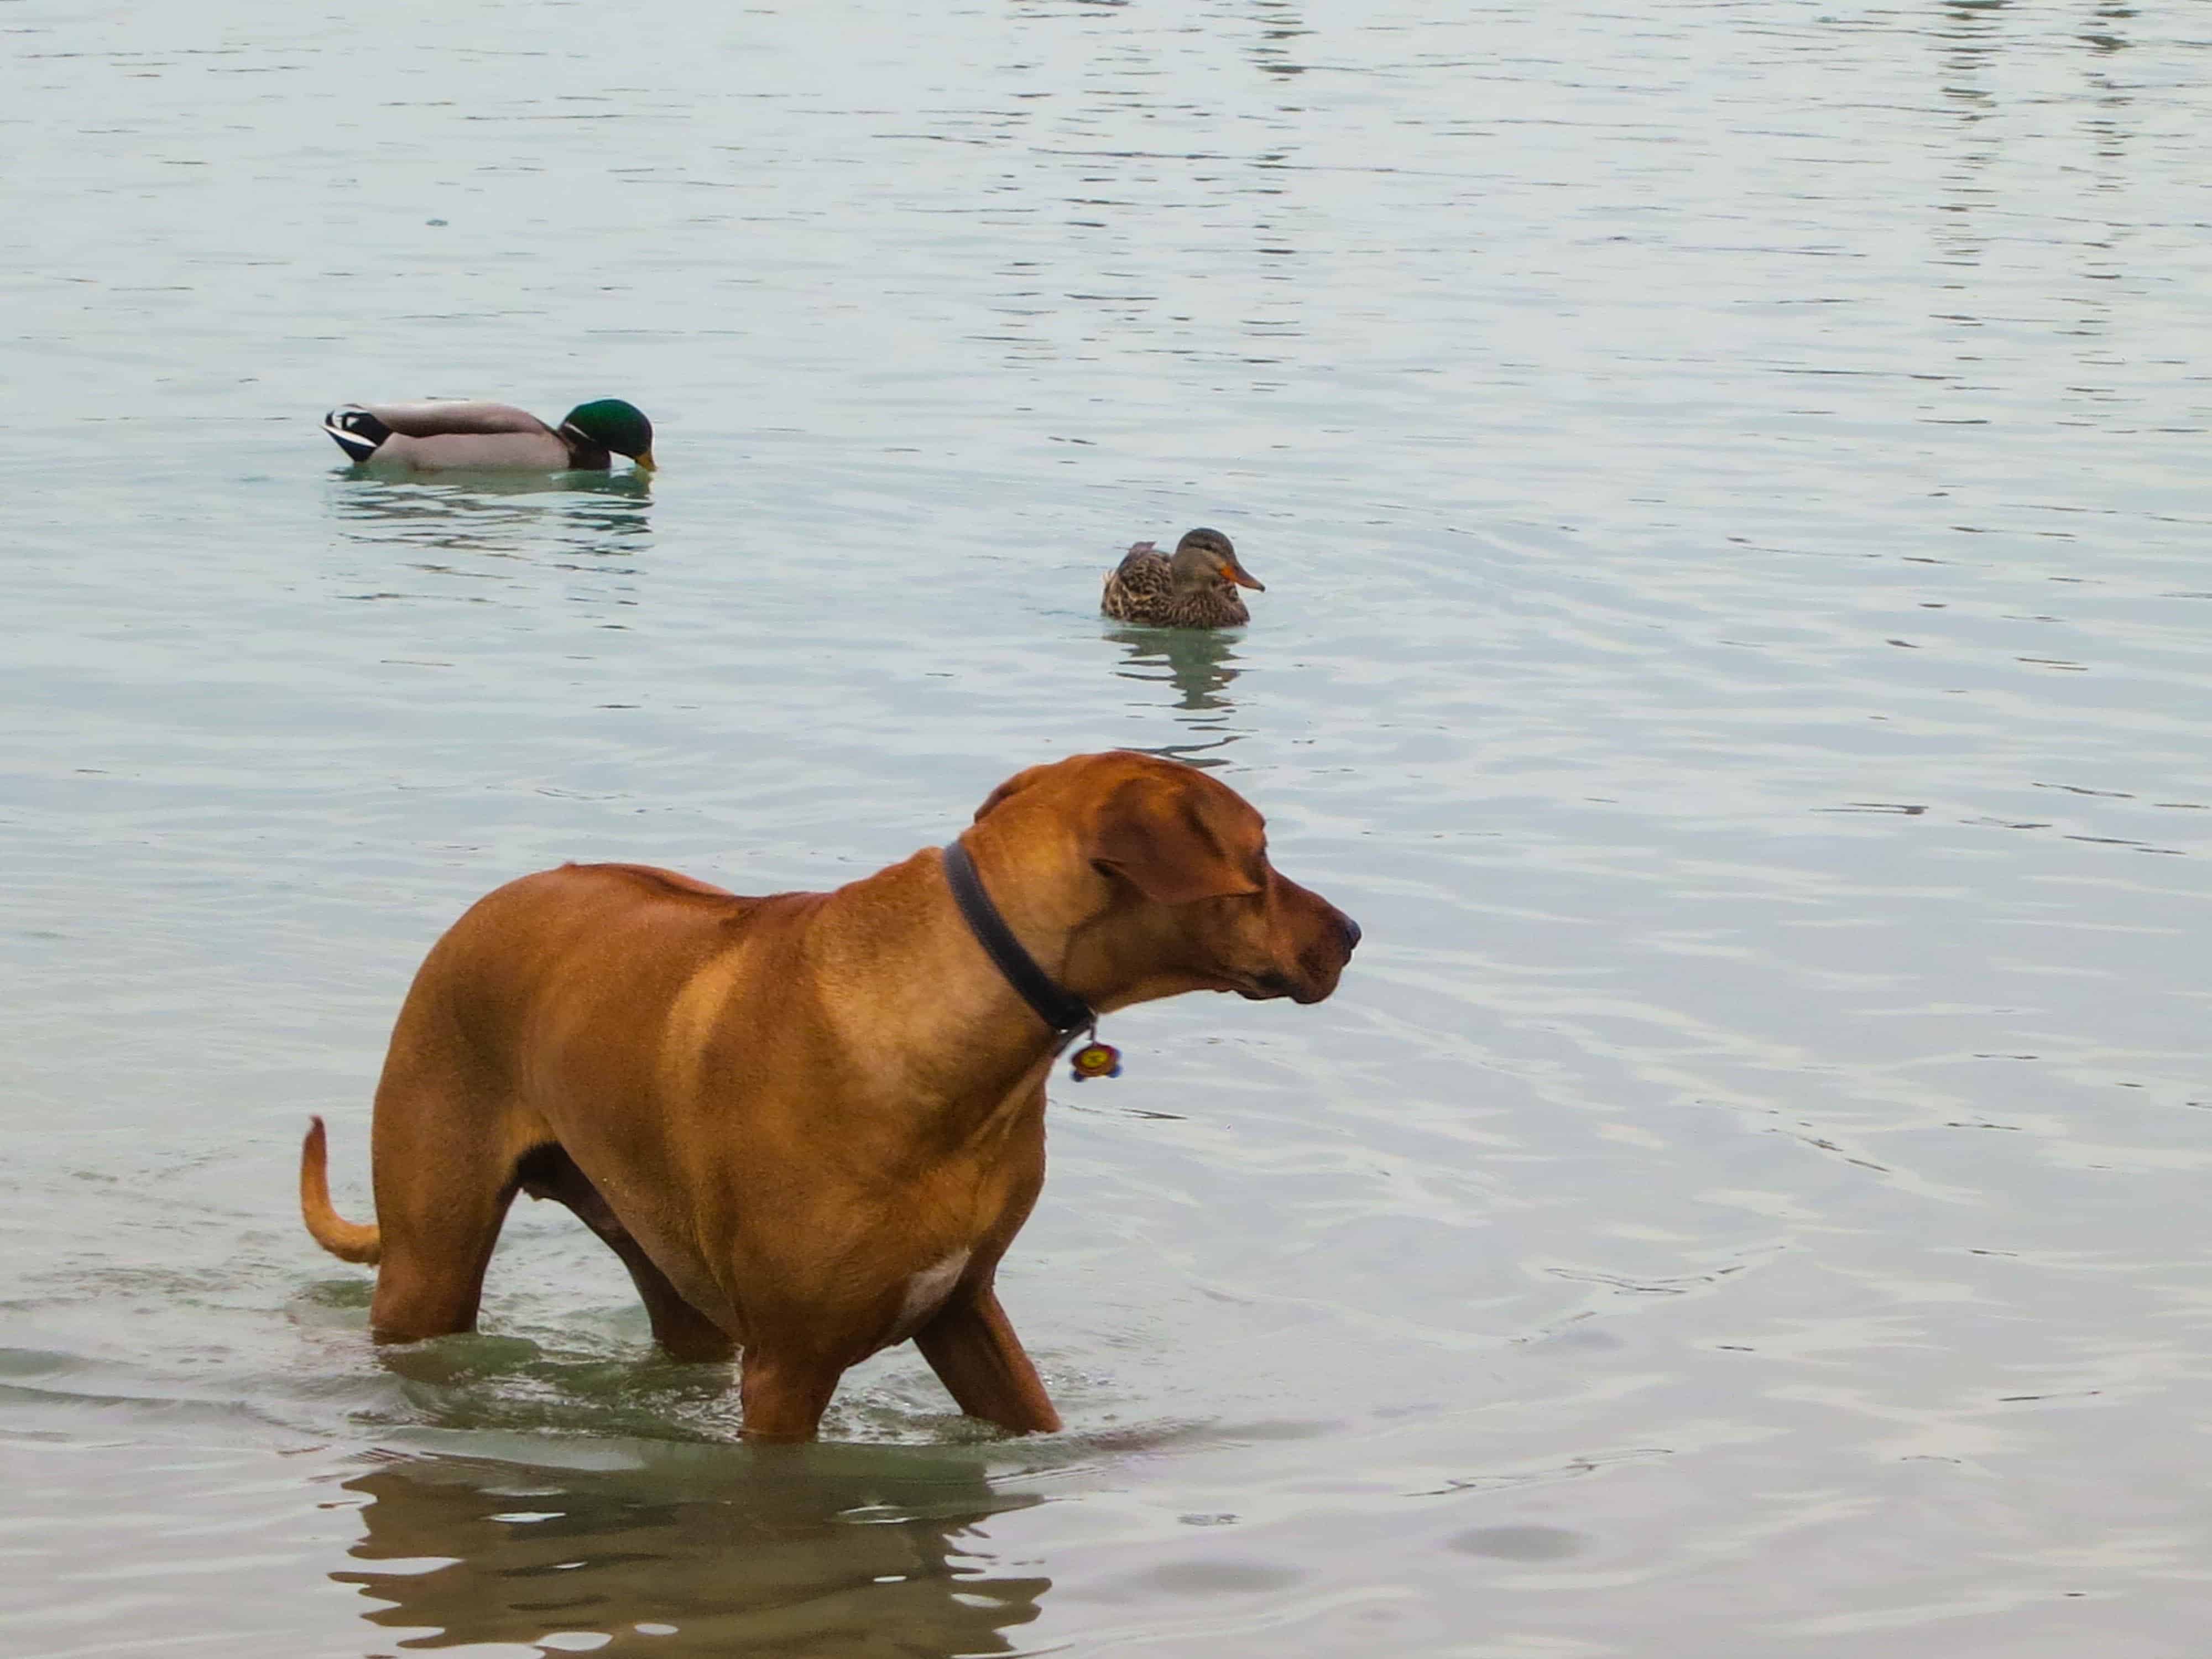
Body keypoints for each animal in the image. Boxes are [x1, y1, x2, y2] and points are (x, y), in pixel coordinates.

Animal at [303, 752, 1354, 1442]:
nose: (1351, 931)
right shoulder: (789, 1365)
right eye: (1259, 855)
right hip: (432, 1256)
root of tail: (491, 900)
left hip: (659, 1255)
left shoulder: (965, 1306)